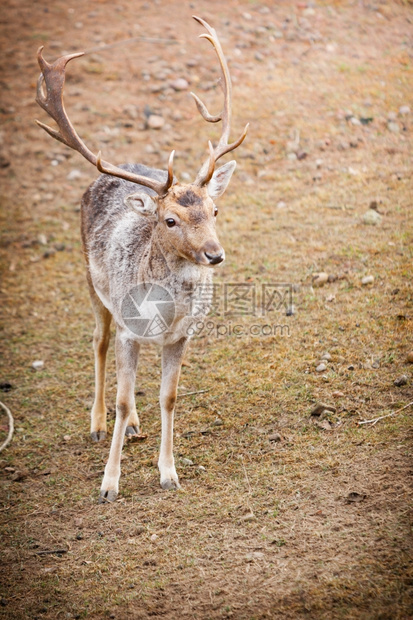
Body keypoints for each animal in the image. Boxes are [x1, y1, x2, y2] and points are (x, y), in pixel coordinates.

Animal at [35, 17, 246, 502]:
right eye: (169, 219)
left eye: (215, 210)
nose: (215, 254)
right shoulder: (130, 329)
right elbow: (122, 396)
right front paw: (109, 484)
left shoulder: (181, 336)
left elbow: (167, 397)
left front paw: (169, 473)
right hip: (92, 284)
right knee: (99, 343)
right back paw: (97, 424)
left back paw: (132, 426)